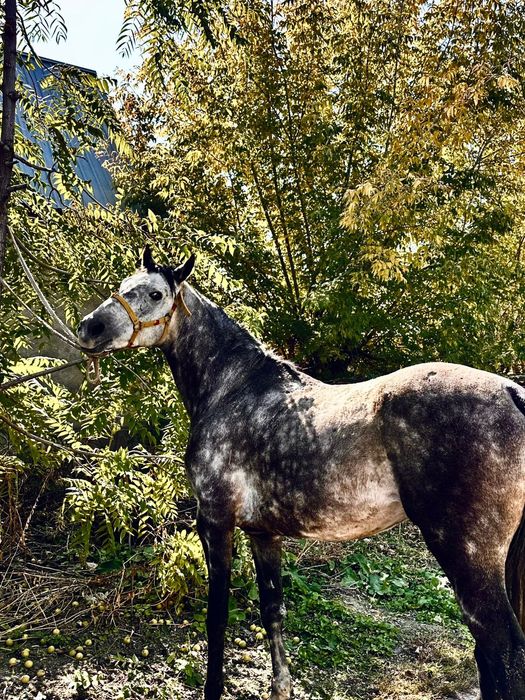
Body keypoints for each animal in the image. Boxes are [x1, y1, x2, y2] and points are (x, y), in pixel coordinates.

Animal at [77, 246, 525, 700]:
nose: (89, 327)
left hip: (466, 555)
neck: (233, 388)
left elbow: (217, 619)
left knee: (500, 649)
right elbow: (272, 610)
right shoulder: (262, 533)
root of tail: (512, 392)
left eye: (155, 294)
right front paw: (280, 688)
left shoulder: (215, 522)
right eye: (121, 285)